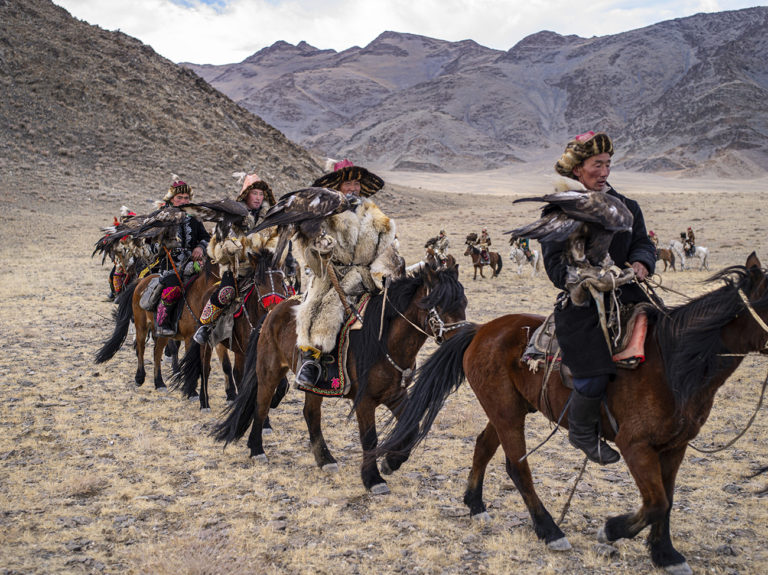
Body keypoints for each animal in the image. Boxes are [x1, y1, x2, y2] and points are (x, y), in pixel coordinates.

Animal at [213, 266, 472, 496]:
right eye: (440, 304)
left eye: (464, 303)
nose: (461, 340)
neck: (385, 340)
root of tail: (274, 310)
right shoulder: (365, 401)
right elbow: (369, 438)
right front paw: (373, 480)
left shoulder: (395, 395)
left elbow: (411, 428)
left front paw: (391, 463)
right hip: (270, 371)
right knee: (262, 405)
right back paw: (257, 450)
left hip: (313, 386)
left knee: (310, 414)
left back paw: (325, 459)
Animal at [380, 254, 768, 575]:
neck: (673, 361)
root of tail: (480, 331)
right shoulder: (635, 445)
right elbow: (656, 501)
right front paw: (611, 530)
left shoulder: (675, 446)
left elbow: (667, 501)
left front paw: (665, 554)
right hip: (506, 412)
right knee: (517, 466)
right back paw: (549, 530)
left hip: (509, 407)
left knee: (483, 446)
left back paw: (475, 504)